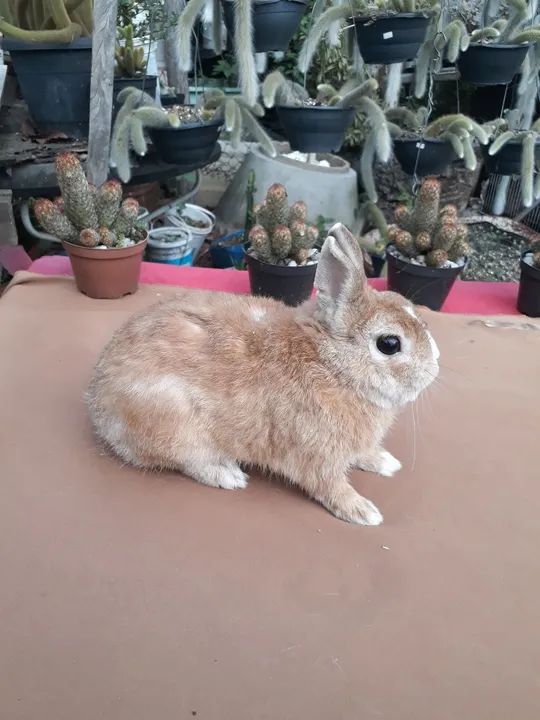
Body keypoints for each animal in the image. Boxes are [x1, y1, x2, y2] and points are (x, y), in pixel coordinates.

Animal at [86, 223, 440, 525]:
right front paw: (363, 511)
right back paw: (227, 475)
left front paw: (386, 463)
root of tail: (97, 401)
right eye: (389, 343)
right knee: (187, 460)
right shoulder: (316, 455)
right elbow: (329, 486)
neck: (332, 366)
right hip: (174, 423)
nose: (435, 366)